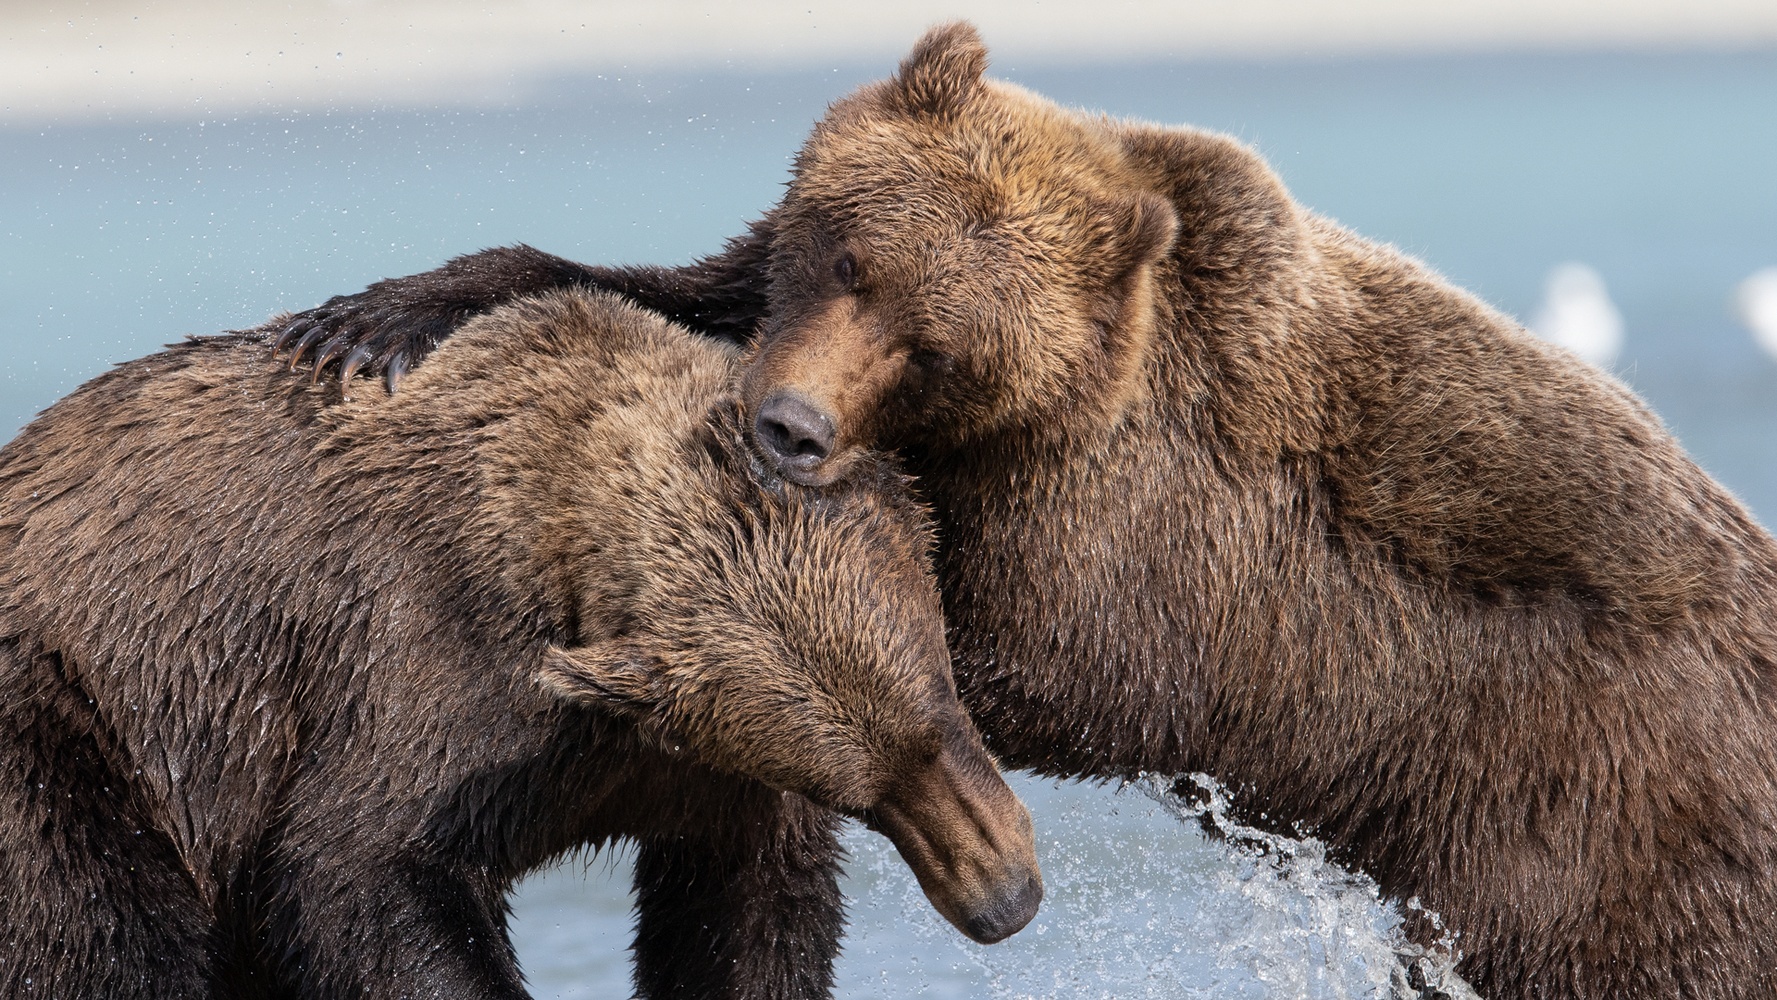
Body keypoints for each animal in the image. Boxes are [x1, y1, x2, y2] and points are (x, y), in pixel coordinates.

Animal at [0, 289, 1037, 1000]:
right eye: (864, 793)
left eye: (940, 711)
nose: (1006, 897)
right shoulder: (430, 665)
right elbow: (353, 870)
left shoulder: (703, 771)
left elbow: (749, 913)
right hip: (83, 726)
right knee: (102, 931)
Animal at [270, 21, 1777, 1000]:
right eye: (849, 258)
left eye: (933, 341)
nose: (785, 425)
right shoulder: (770, 308)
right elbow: (647, 286)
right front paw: (376, 318)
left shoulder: (1149, 530)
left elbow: (1044, 660)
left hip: (1598, 823)